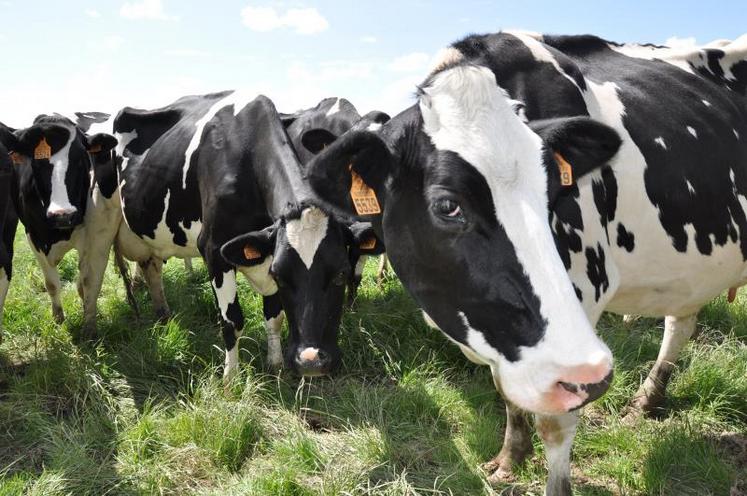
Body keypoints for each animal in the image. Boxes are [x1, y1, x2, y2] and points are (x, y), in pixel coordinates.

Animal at [0, 116, 118, 340]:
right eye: (37, 161)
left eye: (80, 159)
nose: (62, 214)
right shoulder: (33, 236)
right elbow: (52, 284)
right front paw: (58, 318)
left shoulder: (87, 235)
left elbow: (84, 283)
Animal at [109, 91, 380, 378]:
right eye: (281, 276)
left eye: (341, 273)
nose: (311, 362)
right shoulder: (214, 250)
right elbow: (232, 321)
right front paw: (230, 378)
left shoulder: (268, 250)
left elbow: (274, 317)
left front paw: (275, 365)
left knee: (151, 265)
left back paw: (162, 314)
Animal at [306, 32, 747, 496]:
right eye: (447, 206)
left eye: (554, 192)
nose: (597, 371)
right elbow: (507, 392)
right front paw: (510, 458)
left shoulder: (579, 308)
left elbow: (555, 424)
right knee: (681, 322)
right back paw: (647, 399)